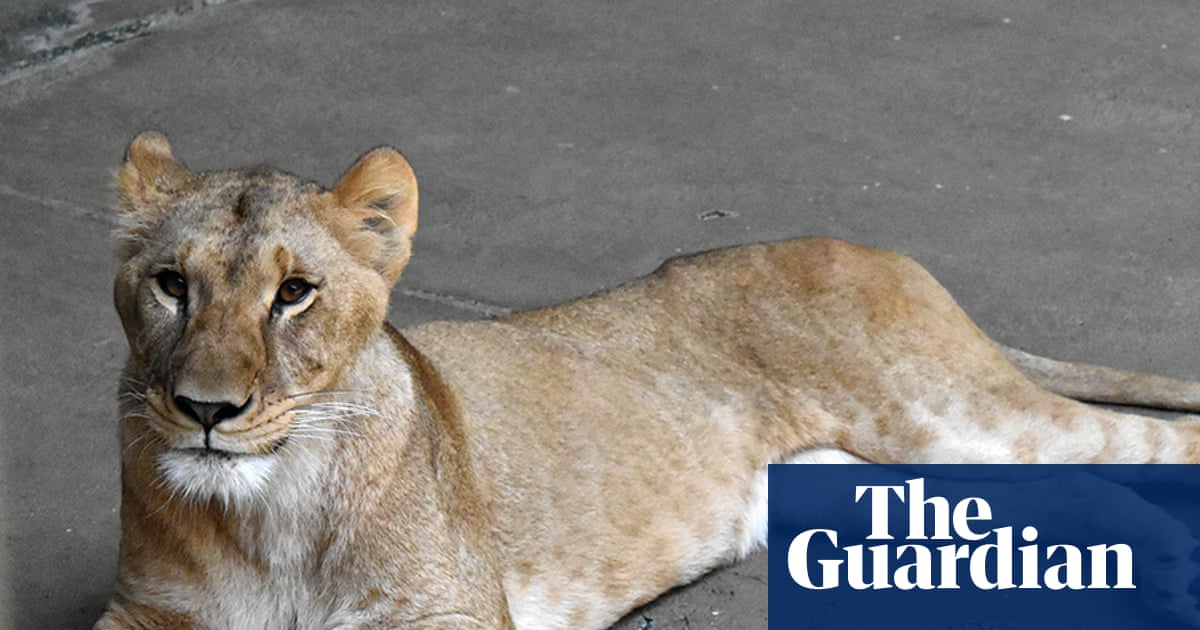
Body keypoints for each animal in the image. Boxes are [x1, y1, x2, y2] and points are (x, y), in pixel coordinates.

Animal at [95, 131, 1200, 629]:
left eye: (294, 294)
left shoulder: (451, 616)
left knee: (1151, 447)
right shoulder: (148, 614)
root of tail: (863, 245)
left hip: (949, 414)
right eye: (170, 284)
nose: (204, 411)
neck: (263, 510)